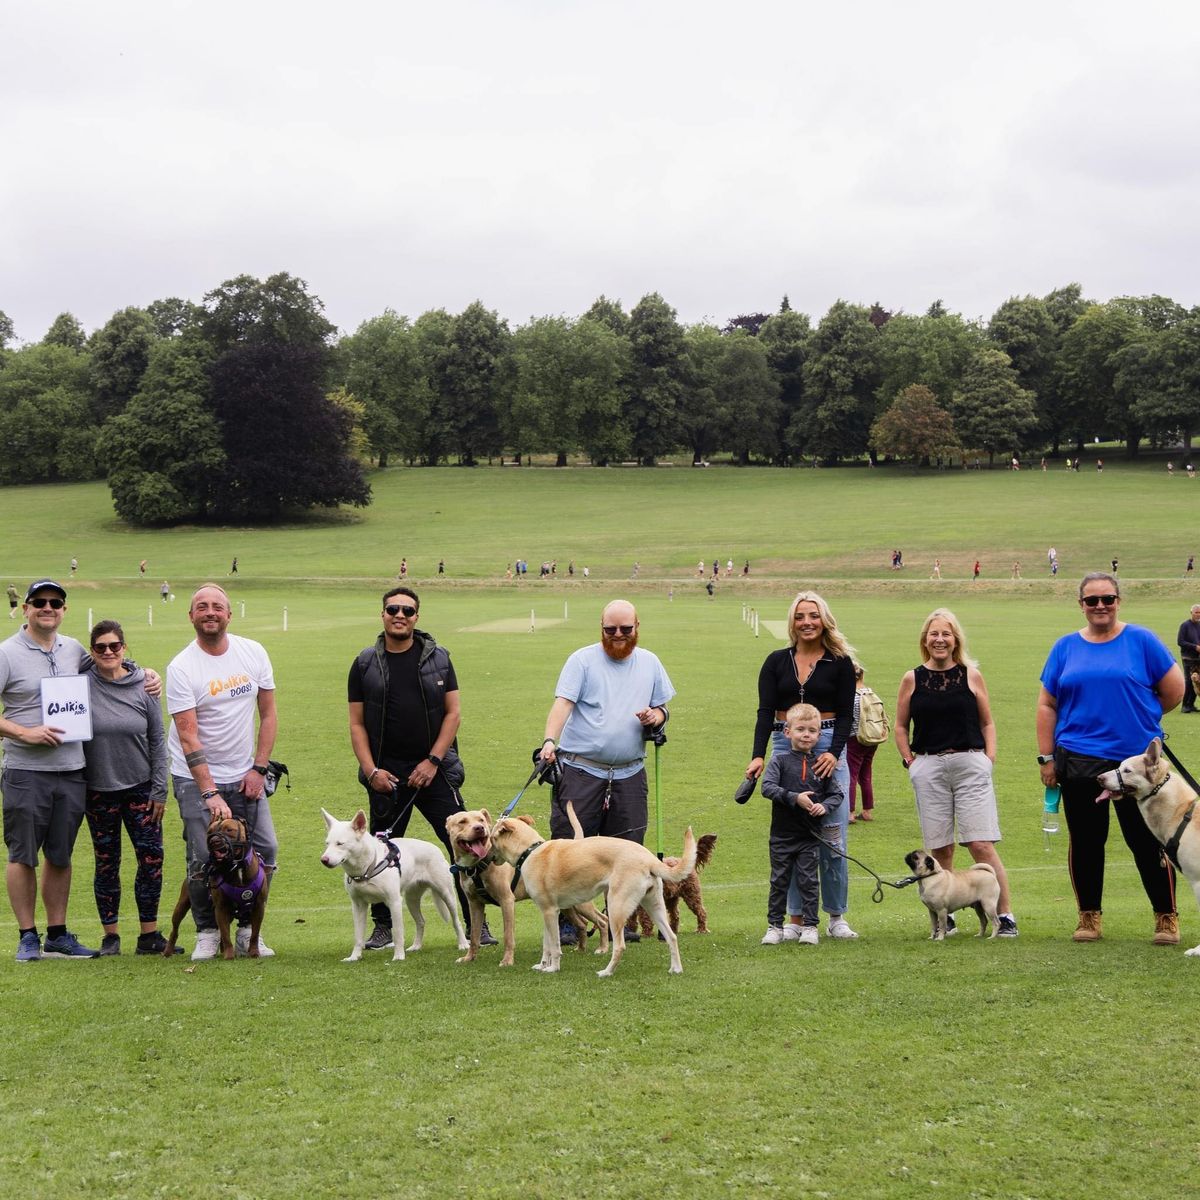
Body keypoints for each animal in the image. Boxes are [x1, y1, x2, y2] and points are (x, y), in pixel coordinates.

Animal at [319, 811, 468, 960]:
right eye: (327, 843)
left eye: (340, 844)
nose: (323, 860)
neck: (367, 868)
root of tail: (435, 848)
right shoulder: (358, 905)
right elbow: (358, 936)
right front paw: (354, 957)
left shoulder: (394, 902)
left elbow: (397, 932)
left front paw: (399, 956)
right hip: (411, 900)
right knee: (421, 922)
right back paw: (416, 946)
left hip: (446, 894)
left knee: (456, 921)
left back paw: (463, 944)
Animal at [446, 806, 609, 964]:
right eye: (462, 821)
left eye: (481, 820)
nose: (479, 828)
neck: (477, 866)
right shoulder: (475, 904)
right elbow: (474, 936)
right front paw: (469, 958)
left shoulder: (507, 901)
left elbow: (508, 935)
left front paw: (507, 960)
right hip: (567, 904)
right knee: (582, 924)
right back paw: (581, 948)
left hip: (582, 904)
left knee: (602, 920)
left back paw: (602, 948)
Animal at [484, 816, 696, 974]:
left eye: (492, 839)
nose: (486, 858)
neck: (529, 851)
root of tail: (649, 859)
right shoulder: (546, 912)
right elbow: (547, 944)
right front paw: (542, 965)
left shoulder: (550, 911)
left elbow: (555, 946)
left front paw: (553, 968)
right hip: (654, 906)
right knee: (671, 937)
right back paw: (676, 969)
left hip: (616, 907)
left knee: (619, 945)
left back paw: (606, 972)